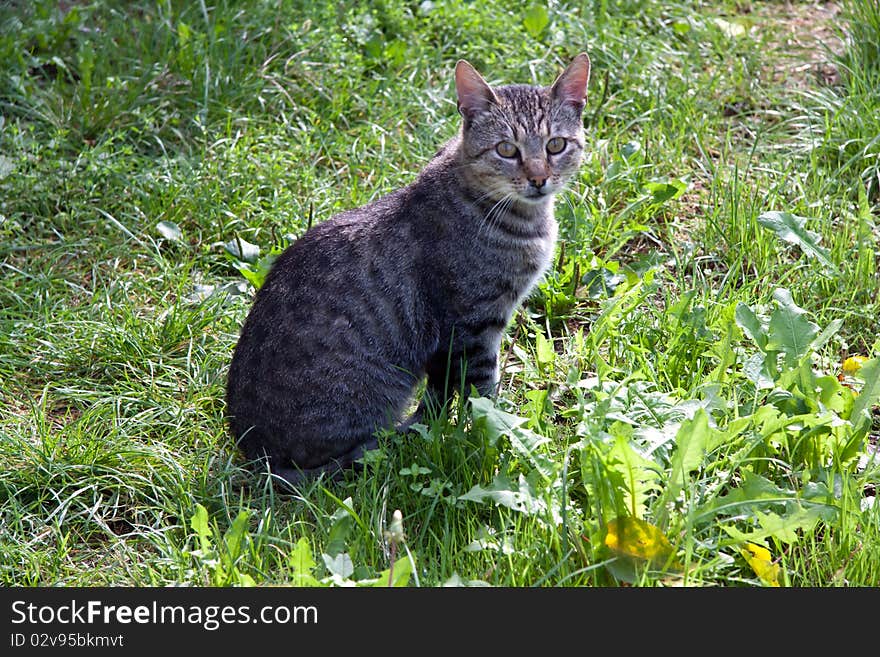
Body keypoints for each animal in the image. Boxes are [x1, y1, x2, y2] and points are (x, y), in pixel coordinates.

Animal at [227, 53, 592, 484]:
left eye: (555, 145)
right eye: (506, 149)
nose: (538, 178)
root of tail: (256, 454)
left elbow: (445, 395)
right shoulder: (473, 325)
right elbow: (485, 394)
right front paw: (503, 435)